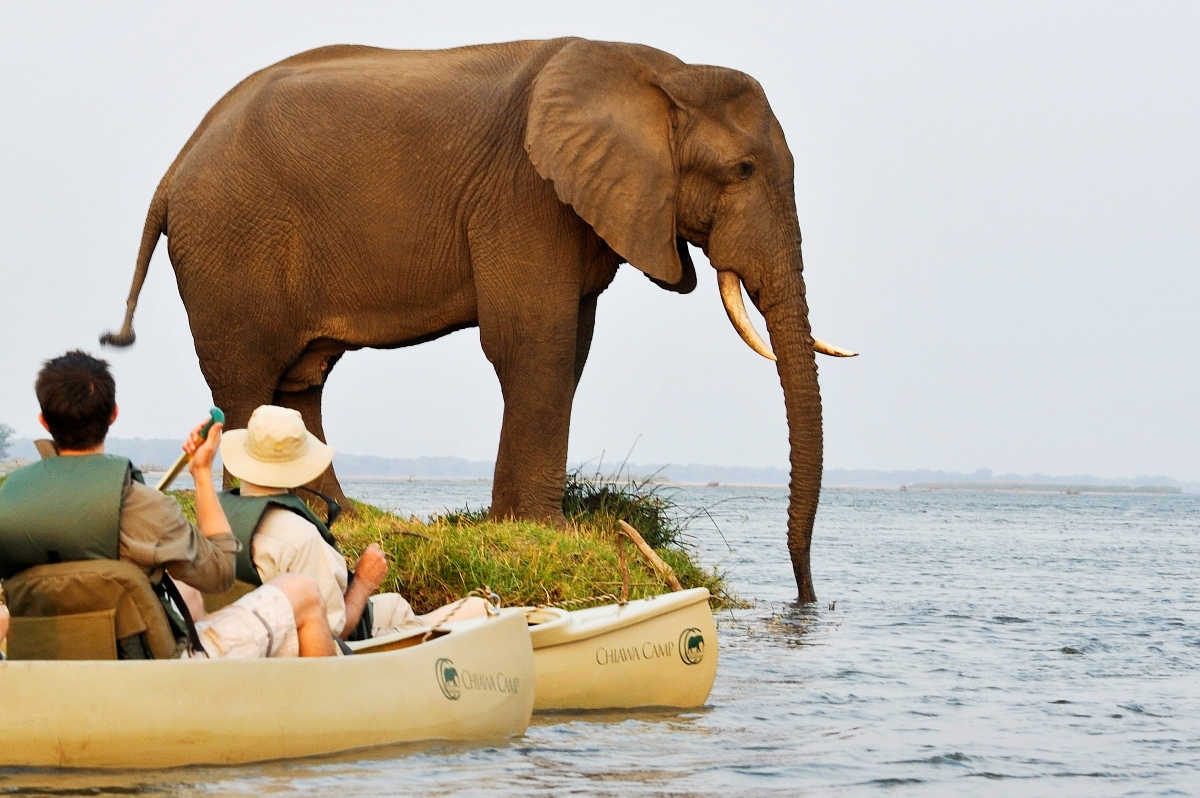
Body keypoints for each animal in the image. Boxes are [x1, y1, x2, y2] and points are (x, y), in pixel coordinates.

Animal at [103, 37, 854, 597]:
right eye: (742, 169)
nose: (806, 599)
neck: (661, 72)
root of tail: (172, 171)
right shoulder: (525, 194)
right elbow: (533, 342)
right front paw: (547, 530)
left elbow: (570, 346)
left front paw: (514, 523)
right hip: (229, 247)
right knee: (250, 380)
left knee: (298, 383)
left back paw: (337, 513)